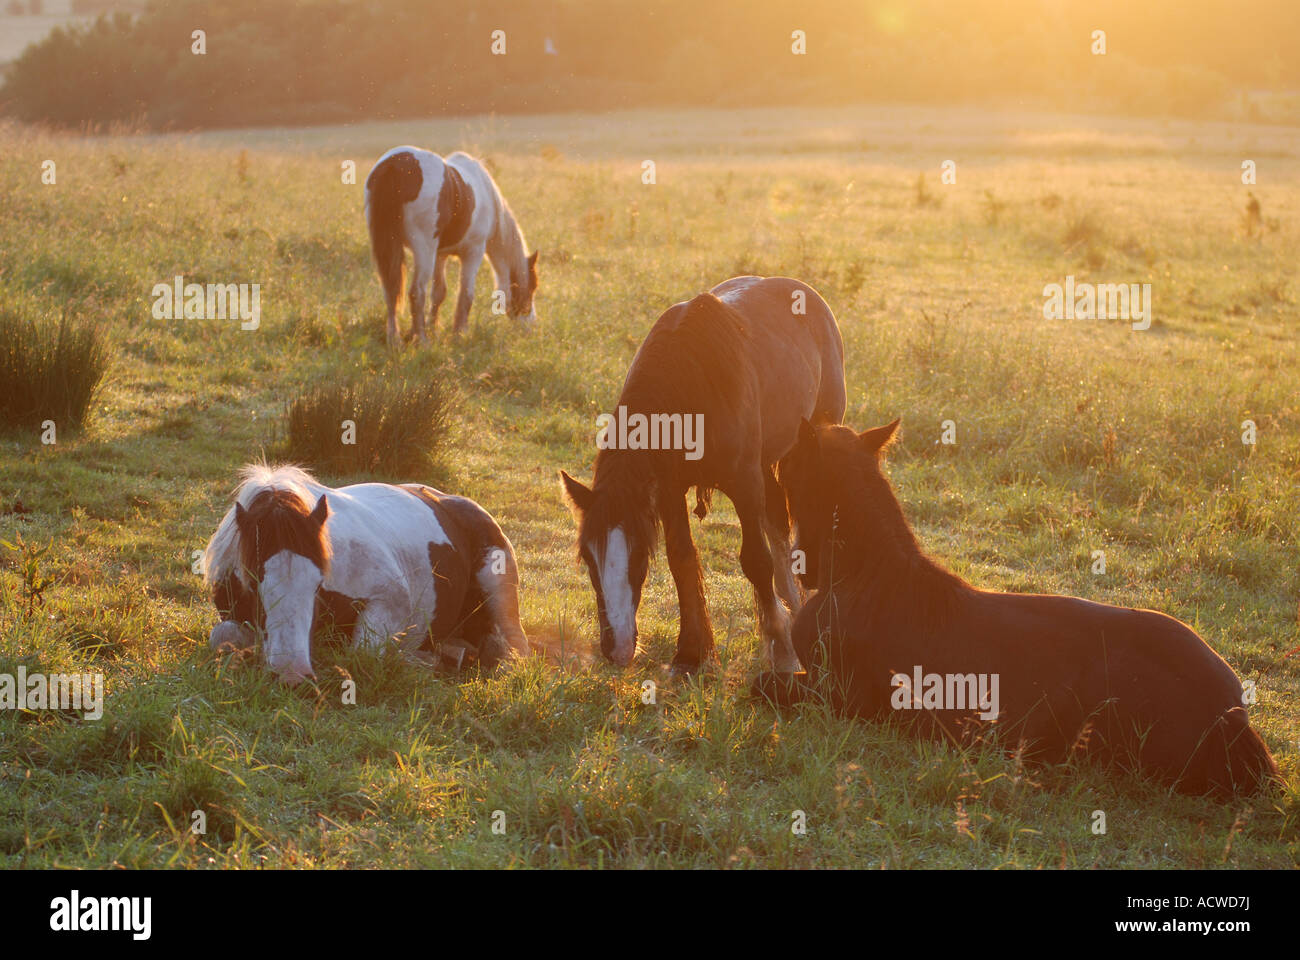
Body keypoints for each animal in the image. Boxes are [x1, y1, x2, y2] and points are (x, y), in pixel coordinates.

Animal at [202, 465, 529, 684]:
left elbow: (361, 654)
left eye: (318, 585)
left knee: (515, 648)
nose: (292, 675)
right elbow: (222, 636)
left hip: (499, 588)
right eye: (252, 580)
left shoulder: (391, 598)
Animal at [364, 146, 539, 346]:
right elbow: (466, 295)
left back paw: (395, 339)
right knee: (417, 292)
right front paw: (459, 333)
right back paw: (422, 340)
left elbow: (439, 292)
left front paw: (433, 328)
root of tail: (395, 164)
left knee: (391, 290)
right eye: (532, 287)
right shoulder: (473, 252)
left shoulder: (440, 254)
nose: (531, 327)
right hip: (424, 250)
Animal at [560, 275, 846, 673]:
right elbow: (681, 560)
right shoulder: (669, 489)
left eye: (638, 556)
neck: (689, 389)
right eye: (588, 557)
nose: (614, 648)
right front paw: (692, 654)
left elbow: (756, 561)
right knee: (777, 519)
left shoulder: (744, 482)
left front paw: (782, 650)